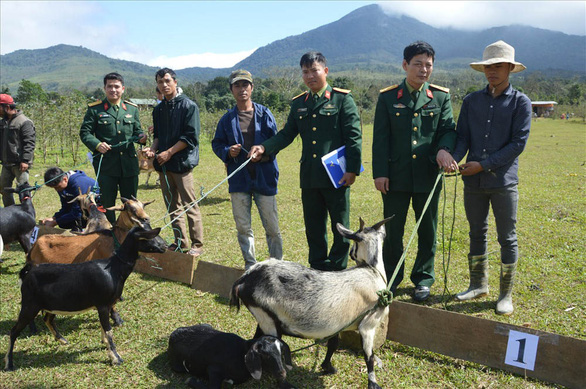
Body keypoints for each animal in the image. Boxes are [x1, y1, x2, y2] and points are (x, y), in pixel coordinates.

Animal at [4, 224, 167, 370]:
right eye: (149, 236)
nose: (165, 246)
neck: (114, 269)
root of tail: (28, 271)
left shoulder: (105, 305)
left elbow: (104, 328)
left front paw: (105, 345)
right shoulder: (102, 304)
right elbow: (109, 331)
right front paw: (116, 358)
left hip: (50, 305)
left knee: (47, 319)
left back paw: (62, 340)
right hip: (29, 305)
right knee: (14, 331)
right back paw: (9, 364)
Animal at [230, 217, 390, 386]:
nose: (353, 254)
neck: (373, 271)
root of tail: (244, 279)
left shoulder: (337, 325)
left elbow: (333, 344)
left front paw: (327, 367)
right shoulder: (368, 325)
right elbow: (369, 357)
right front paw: (373, 383)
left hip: (263, 317)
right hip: (268, 320)